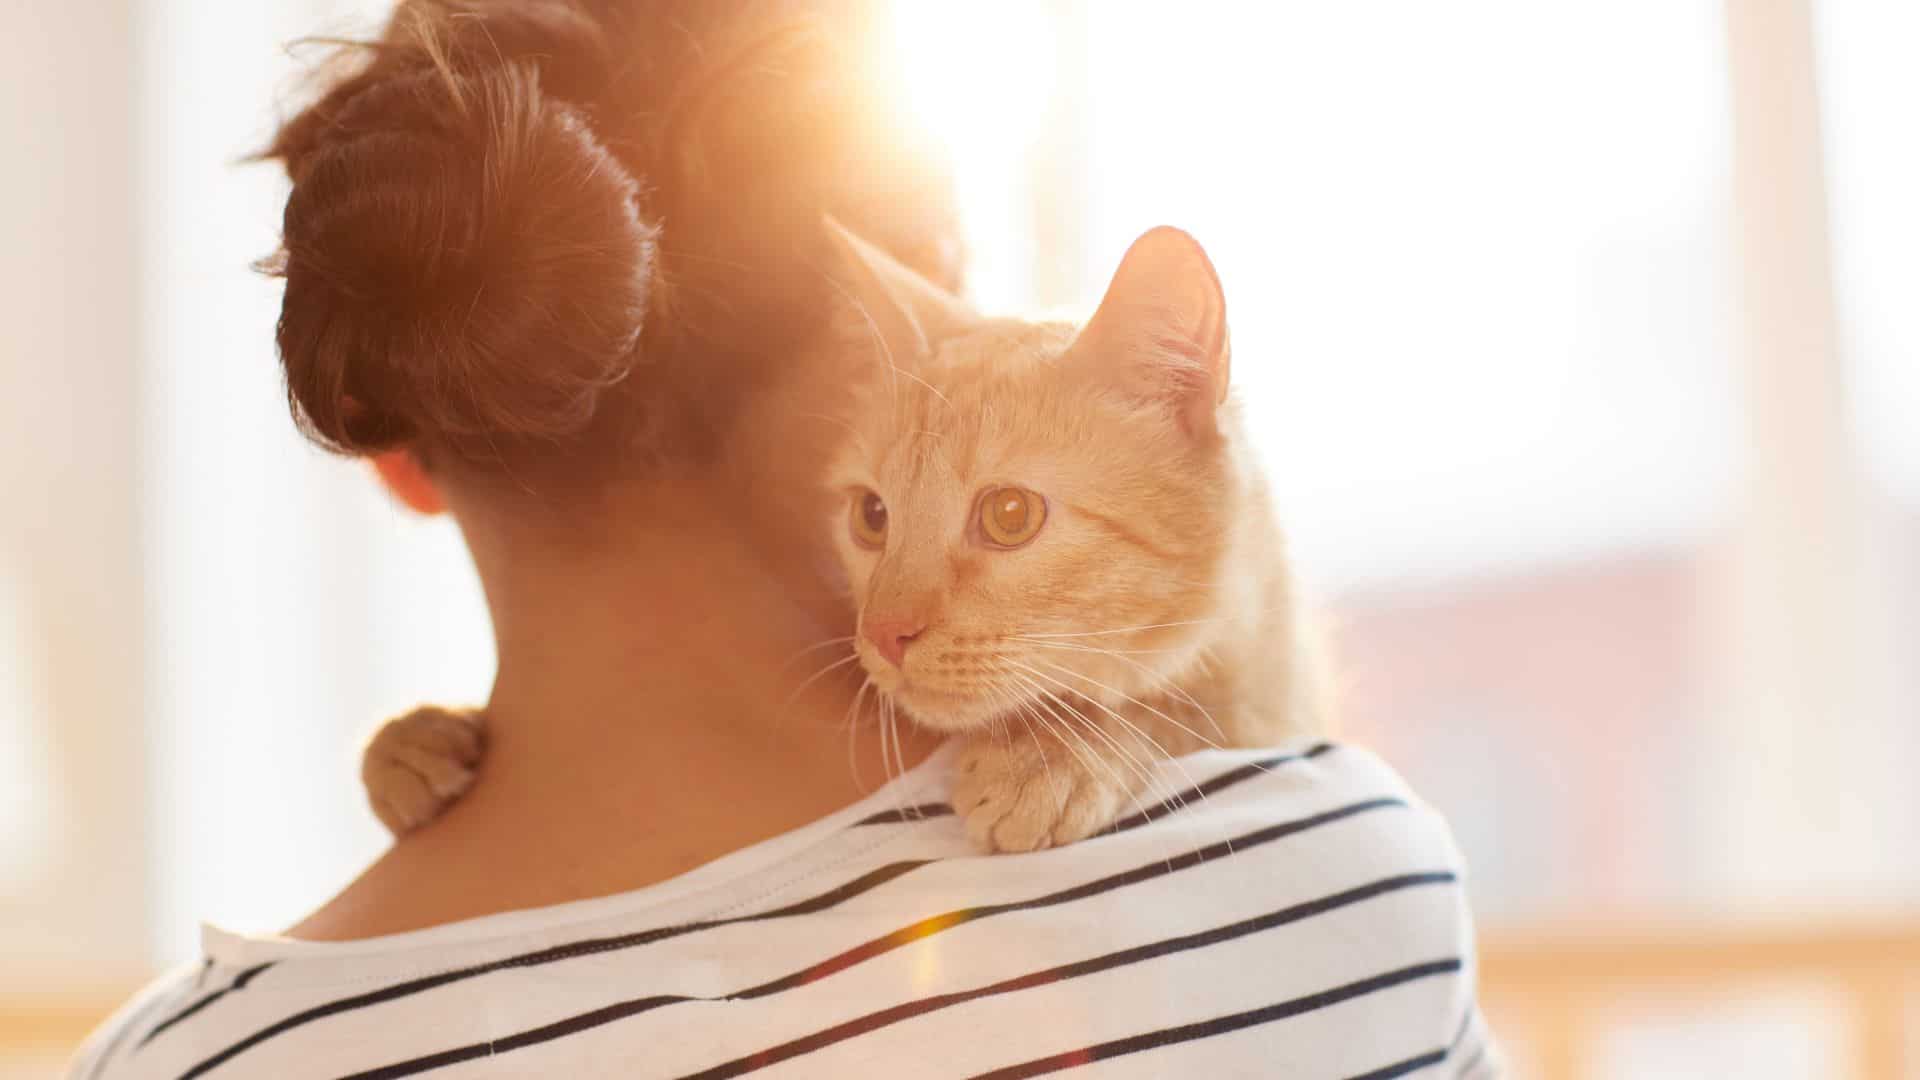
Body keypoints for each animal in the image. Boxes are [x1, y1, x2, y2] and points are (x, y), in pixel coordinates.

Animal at [362, 222, 1320, 849]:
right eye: (873, 516)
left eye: (1009, 515)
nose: (885, 634)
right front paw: (419, 737)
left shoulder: (1271, 704)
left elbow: (1182, 708)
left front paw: (1061, 752)